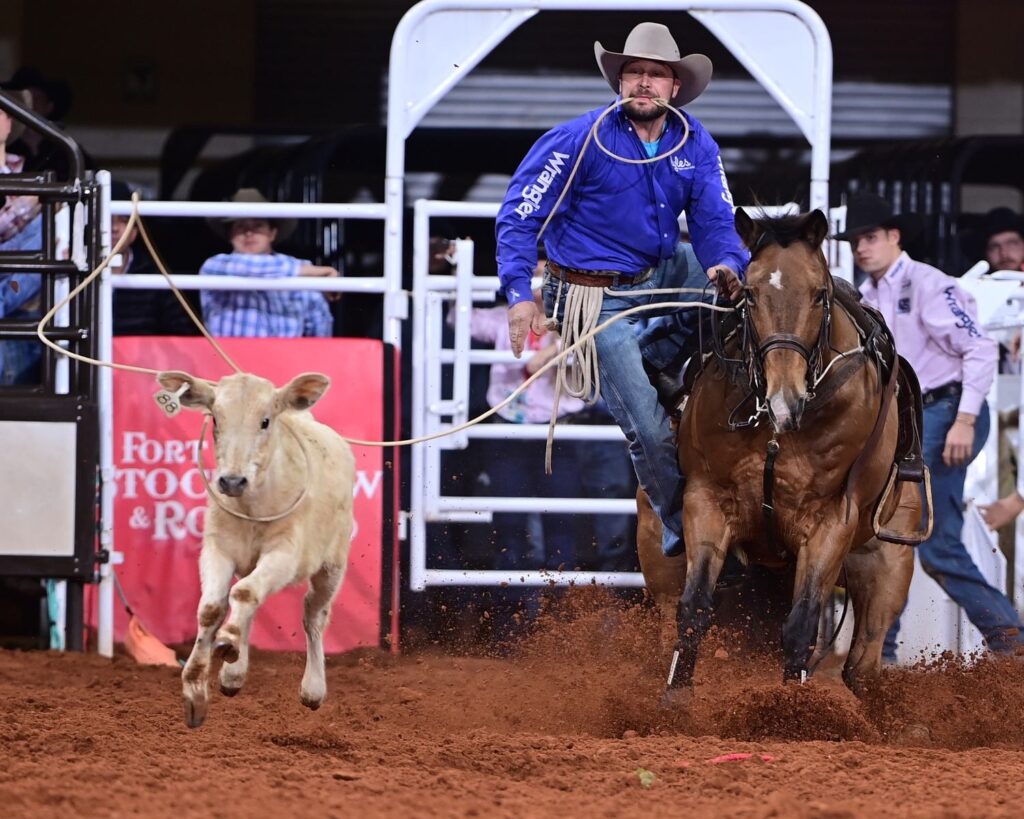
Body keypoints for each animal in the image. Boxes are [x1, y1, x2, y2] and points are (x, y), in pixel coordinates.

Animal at [156, 370, 356, 728]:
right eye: (215, 418)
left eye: (265, 421)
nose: (232, 481)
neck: (252, 506)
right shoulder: (217, 549)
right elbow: (212, 608)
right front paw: (195, 690)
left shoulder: (285, 554)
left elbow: (246, 594)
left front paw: (226, 644)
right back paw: (233, 670)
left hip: (332, 565)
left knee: (313, 615)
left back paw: (313, 688)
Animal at [634, 210, 925, 704]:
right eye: (749, 294)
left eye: (819, 293)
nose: (784, 398)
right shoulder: (706, 501)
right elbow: (694, 610)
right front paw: (675, 699)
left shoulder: (832, 521)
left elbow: (802, 625)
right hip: (657, 547)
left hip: (886, 563)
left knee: (862, 664)